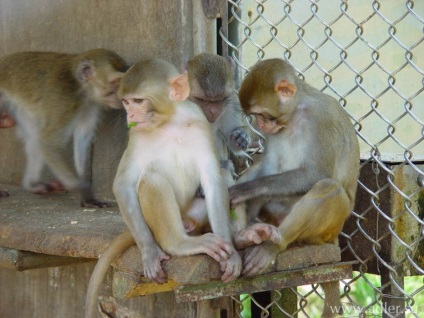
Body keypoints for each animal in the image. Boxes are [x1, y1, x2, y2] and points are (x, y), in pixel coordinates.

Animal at [0, 47, 126, 206]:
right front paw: (85, 192)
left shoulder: (90, 104)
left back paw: (33, 185)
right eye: (116, 82)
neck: (79, 85)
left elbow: (82, 136)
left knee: (34, 136)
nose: (121, 96)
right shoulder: (65, 100)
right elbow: (49, 142)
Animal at [85, 58, 242, 318]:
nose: (130, 113)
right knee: (153, 178)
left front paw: (231, 253)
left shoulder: (198, 122)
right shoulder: (136, 132)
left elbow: (212, 178)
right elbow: (124, 185)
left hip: (194, 213)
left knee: (221, 177)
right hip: (154, 224)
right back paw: (179, 243)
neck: (170, 122)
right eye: (126, 102)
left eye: (138, 101)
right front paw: (150, 252)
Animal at [230, 58, 360, 316]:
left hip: (327, 229)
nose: (260, 124)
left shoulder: (321, 121)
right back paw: (245, 236)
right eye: (254, 116)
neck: (296, 113)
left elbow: (317, 174)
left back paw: (272, 246)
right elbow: (268, 166)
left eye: (263, 115)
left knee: (329, 187)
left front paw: (247, 190)